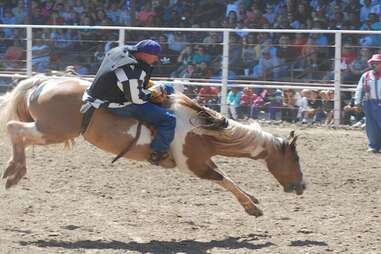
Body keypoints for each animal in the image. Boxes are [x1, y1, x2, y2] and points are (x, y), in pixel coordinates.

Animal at [0, 74, 304, 217]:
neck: (201, 129)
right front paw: (252, 207)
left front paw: (252, 198)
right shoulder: (194, 166)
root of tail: (43, 81)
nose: (301, 186)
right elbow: (224, 181)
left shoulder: (203, 159)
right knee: (14, 129)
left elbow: (227, 176)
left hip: (50, 130)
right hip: (52, 131)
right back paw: (14, 172)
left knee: (17, 131)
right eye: (296, 159)